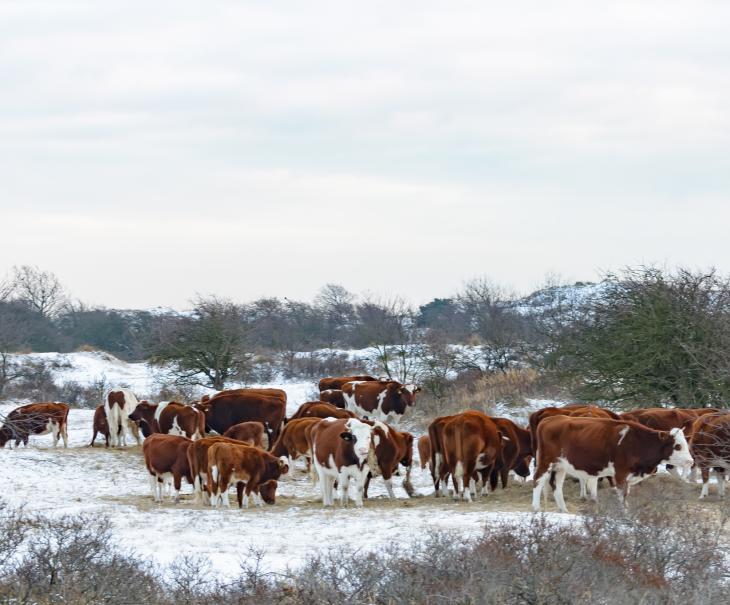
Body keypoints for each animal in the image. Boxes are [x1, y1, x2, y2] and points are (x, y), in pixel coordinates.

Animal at [532, 418, 692, 512]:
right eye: (678, 446)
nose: (691, 461)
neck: (637, 441)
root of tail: (550, 419)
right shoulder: (620, 474)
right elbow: (622, 495)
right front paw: (625, 515)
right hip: (546, 462)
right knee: (537, 481)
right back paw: (536, 508)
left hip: (560, 466)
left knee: (556, 486)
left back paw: (564, 511)